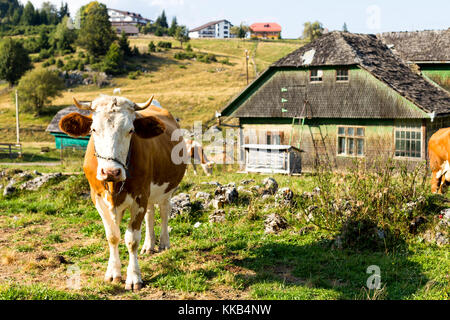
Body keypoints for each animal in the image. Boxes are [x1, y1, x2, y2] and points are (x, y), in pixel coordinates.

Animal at [59, 94, 185, 290]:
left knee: (164, 211)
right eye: (93, 129)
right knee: (150, 214)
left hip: (166, 189)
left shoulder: (139, 197)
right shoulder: (99, 200)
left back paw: (164, 243)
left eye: (131, 130)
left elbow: (131, 239)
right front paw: (113, 273)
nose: (111, 171)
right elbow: (113, 236)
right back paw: (149, 245)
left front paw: (134, 277)